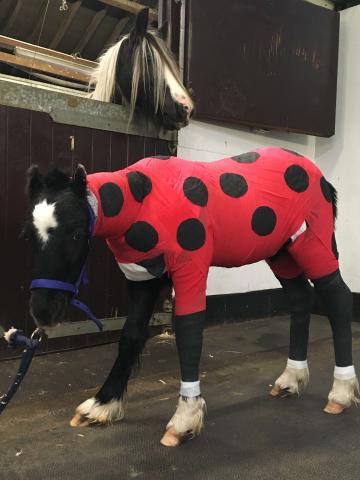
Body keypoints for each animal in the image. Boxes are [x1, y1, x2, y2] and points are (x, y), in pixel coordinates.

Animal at [23, 148, 358, 448]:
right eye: (27, 236)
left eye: (77, 233)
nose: (44, 312)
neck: (144, 201)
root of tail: (321, 178)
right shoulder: (142, 279)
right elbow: (131, 336)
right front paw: (102, 405)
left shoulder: (190, 269)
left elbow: (188, 331)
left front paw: (184, 418)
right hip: (281, 253)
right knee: (300, 299)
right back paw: (291, 379)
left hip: (313, 245)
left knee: (339, 299)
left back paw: (341, 392)